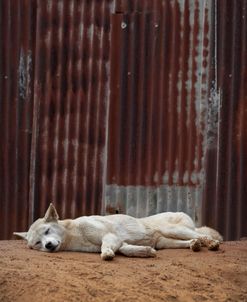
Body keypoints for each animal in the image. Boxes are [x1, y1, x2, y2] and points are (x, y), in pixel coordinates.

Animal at [13, 203, 222, 260]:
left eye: (48, 230)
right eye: (37, 243)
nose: (48, 245)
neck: (76, 235)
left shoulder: (110, 236)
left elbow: (106, 247)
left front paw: (106, 254)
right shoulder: (120, 242)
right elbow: (126, 250)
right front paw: (145, 252)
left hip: (176, 230)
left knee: (204, 235)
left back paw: (211, 243)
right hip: (166, 242)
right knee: (189, 242)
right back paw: (195, 246)